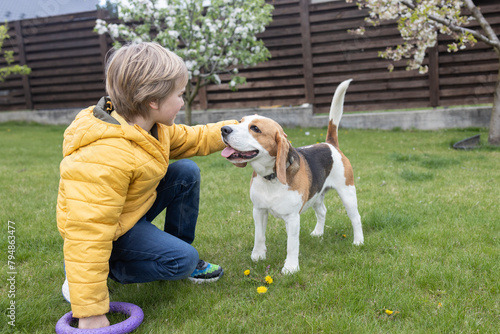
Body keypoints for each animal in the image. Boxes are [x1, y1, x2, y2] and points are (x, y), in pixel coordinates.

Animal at [222, 80, 364, 274]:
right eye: (240, 121)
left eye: (255, 128)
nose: (223, 129)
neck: (271, 178)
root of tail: (329, 144)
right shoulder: (258, 210)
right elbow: (259, 236)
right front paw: (258, 256)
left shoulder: (292, 218)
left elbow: (292, 245)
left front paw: (290, 267)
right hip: (316, 195)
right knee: (322, 211)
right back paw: (318, 233)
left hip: (347, 193)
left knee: (355, 217)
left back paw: (358, 241)